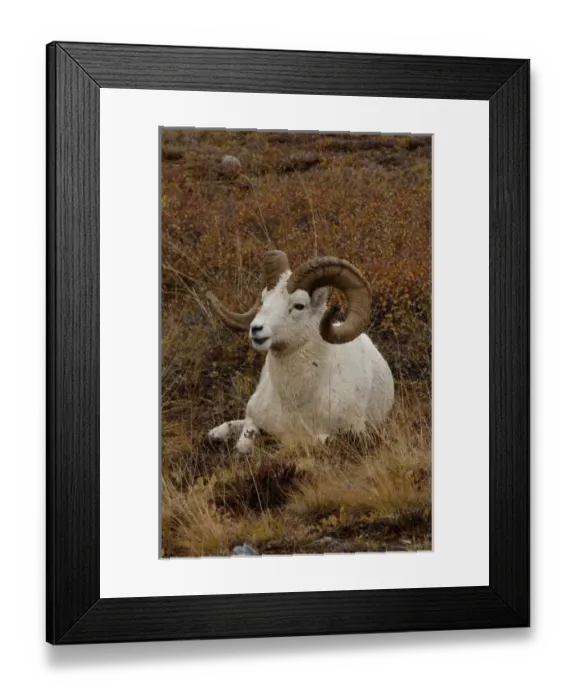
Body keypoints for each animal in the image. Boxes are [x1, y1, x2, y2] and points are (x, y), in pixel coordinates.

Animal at [206, 250, 395, 453]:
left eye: (299, 306)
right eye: (264, 300)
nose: (256, 329)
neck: (295, 402)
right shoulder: (254, 419)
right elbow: (243, 443)